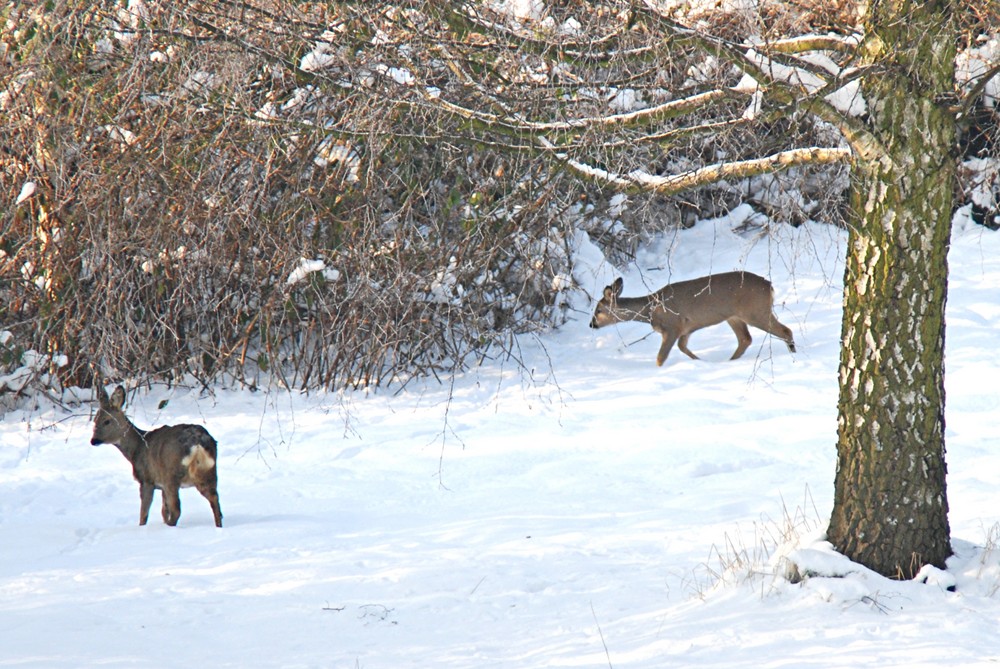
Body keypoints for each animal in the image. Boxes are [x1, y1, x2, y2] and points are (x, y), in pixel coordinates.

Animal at [91, 386, 224, 528]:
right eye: (95, 420)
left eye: (107, 421)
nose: (93, 440)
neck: (136, 449)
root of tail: (198, 443)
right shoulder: (161, 486)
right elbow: (164, 510)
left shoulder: (147, 479)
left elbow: (144, 513)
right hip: (208, 473)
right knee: (215, 501)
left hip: (171, 475)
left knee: (177, 509)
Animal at [588, 270, 792, 366]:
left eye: (598, 310)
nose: (591, 324)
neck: (650, 310)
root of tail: (769, 286)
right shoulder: (686, 329)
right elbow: (683, 347)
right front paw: (699, 362)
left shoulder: (673, 326)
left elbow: (661, 357)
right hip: (734, 316)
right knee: (745, 339)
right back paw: (731, 361)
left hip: (755, 311)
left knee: (785, 330)